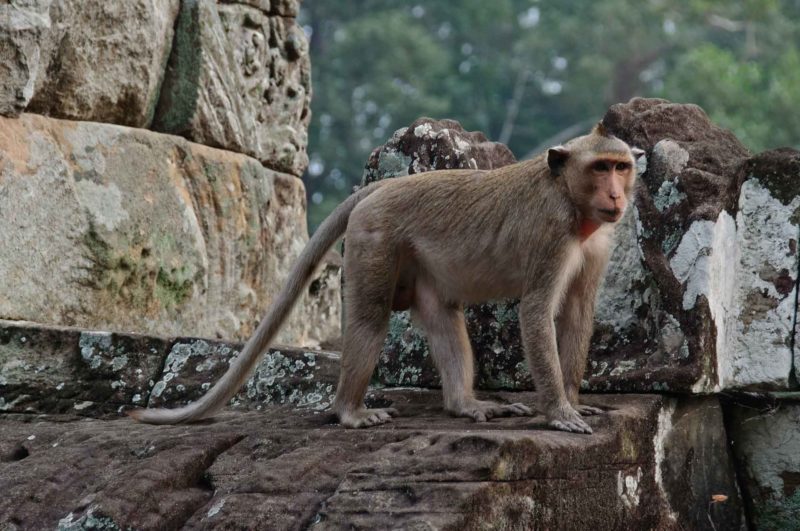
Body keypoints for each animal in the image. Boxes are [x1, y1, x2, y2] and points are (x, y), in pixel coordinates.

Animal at [131, 124, 644, 436]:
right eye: (600, 167)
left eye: (621, 167)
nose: (616, 195)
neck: (572, 202)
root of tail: (382, 187)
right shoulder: (550, 234)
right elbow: (536, 311)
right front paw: (559, 412)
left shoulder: (598, 242)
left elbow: (577, 313)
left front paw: (575, 400)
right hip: (374, 237)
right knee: (370, 317)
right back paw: (349, 410)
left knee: (442, 314)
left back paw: (465, 404)